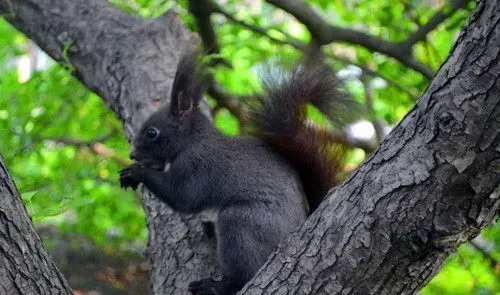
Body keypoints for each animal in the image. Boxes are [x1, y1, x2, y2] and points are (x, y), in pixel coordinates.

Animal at [119, 53, 354, 295]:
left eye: (152, 132)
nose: (132, 154)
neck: (192, 140)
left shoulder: (196, 165)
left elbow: (181, 196)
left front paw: (137, 172)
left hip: (242, 225)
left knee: (245, 274)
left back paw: (214, 287)